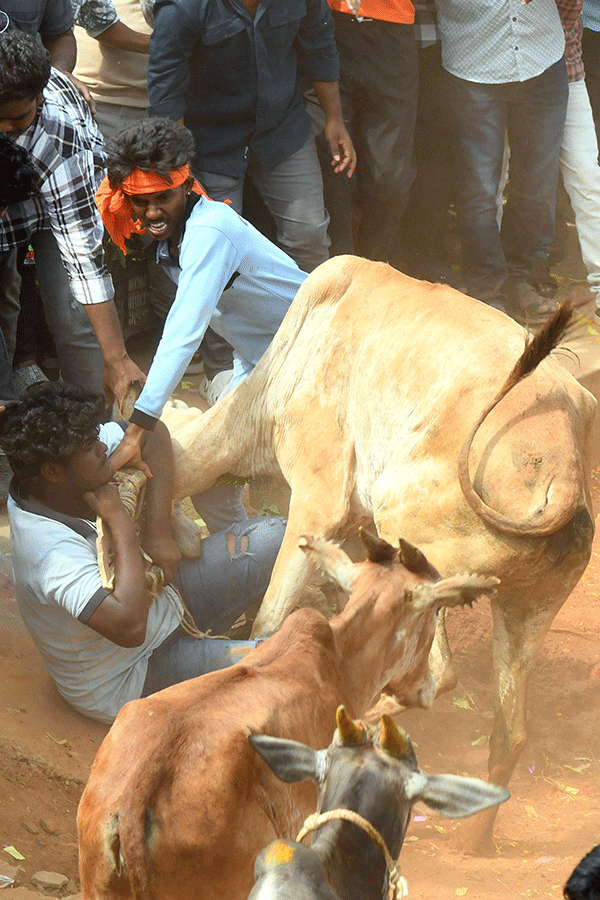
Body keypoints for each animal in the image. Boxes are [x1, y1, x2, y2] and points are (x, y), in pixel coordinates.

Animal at [163, 256, 596, 856]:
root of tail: (562, 471)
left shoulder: (318, 500)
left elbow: (271, 619)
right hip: (526, 610)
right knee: (511, 731)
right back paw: (474, 841)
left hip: (405, 526)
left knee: (441, 676)